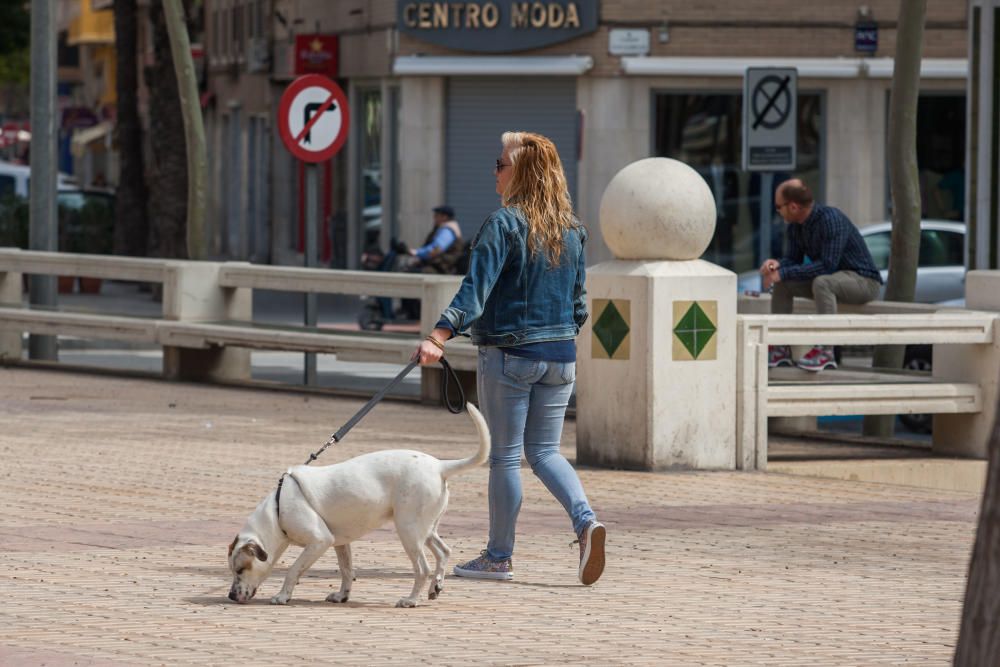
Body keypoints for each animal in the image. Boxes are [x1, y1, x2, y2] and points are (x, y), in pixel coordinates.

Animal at [230, 404, 488, 608]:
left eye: (241, 569)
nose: (231, 595)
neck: (277, 510)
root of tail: (439, 466)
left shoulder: (319, 541)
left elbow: (293, 570)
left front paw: (283, 596)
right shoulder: (339, 543)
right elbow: (347, 570)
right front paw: (342, 595)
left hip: (409, 531)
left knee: (423, 568)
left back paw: (411, 600)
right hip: (424, 529)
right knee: (444, 551)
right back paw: (436, 586)